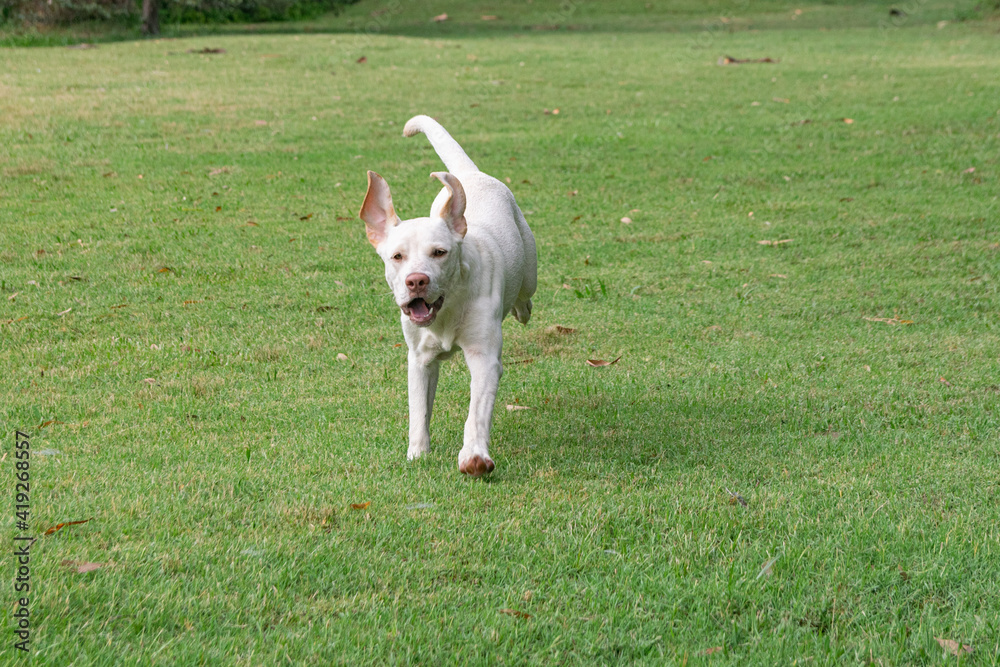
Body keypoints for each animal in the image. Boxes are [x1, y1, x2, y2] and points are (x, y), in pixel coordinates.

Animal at [356, 116, 536, 480]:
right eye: (397, 256)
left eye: (439, 252)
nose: (416, 280)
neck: (448, 309)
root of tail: (470, 174)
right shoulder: (419, 359)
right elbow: (418, 410)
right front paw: (417, 453)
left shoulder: (484, 357)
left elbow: (477, 411)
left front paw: (474, 456)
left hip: (530, 270)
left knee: (525, 298)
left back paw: (522, 307)